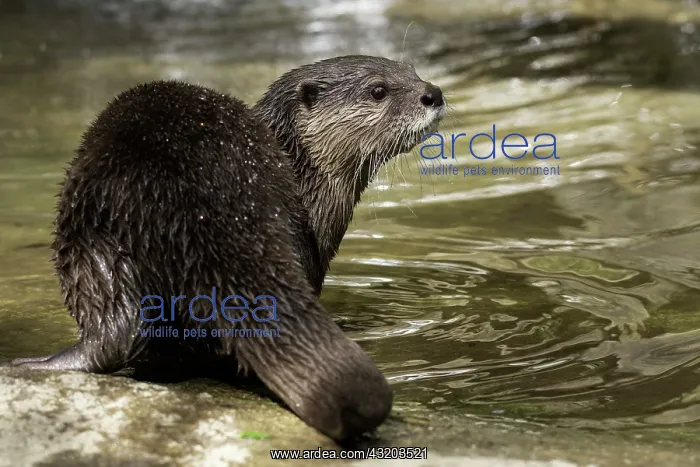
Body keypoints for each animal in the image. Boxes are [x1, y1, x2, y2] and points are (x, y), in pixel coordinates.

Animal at [3, 56, 446, 440]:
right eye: (378, 90)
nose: (434, 93)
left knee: (114, 333)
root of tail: (195, 197)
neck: (302, 174)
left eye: (412, 70)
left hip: (93, 233)